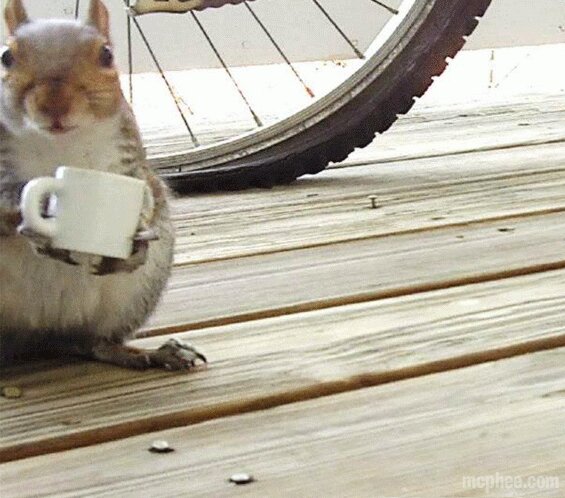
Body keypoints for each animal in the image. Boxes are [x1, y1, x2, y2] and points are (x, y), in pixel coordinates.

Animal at [0, 0, 205, 370]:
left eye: (106, 55)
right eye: (7, 57)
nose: (55, 104)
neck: (61, 145)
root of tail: (38, 339)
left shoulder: (131, 164)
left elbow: (146, 195)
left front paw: (138, 238)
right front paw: (37, 217)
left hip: (131, 298)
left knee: (91, 343)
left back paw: (148, 352)